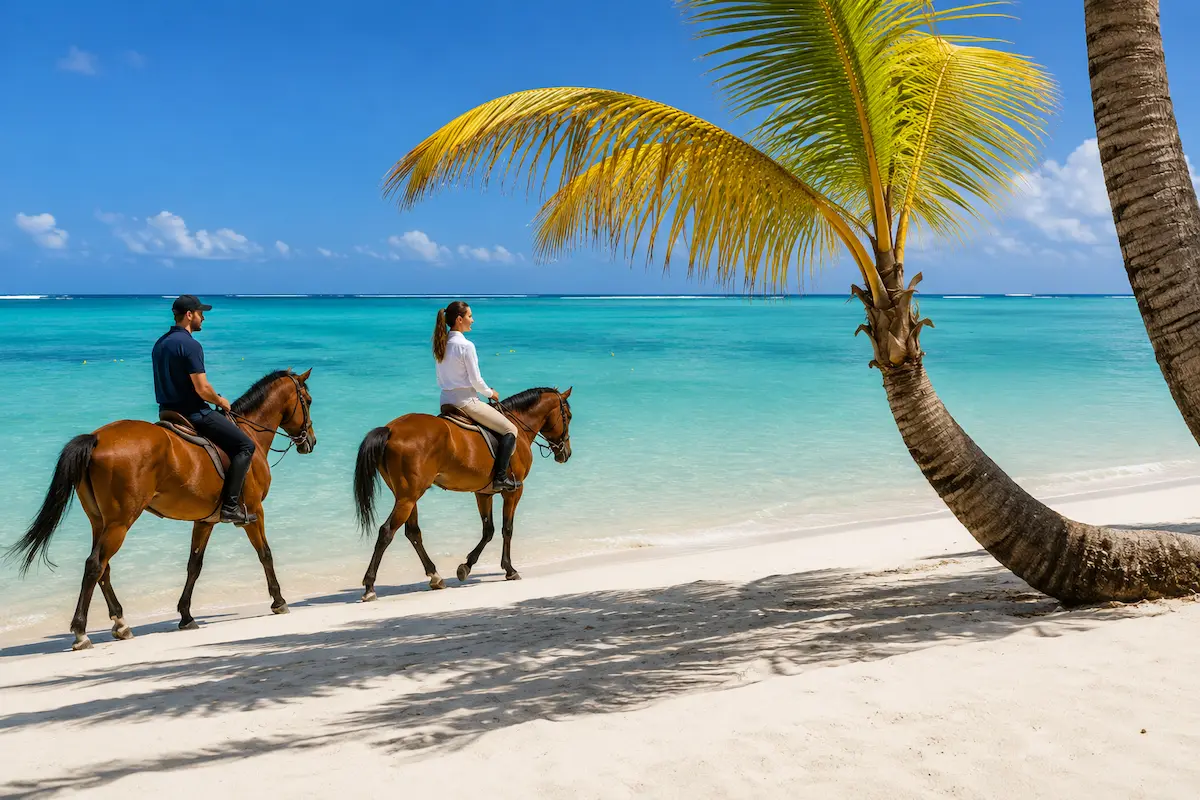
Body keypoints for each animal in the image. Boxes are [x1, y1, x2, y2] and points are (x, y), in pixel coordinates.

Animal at [5, 369, 316, 650]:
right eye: (309, 401)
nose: (310, 441)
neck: (250, 431)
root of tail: (96, 438)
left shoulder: (204, 521)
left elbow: (194, 566)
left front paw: (186, 615)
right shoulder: (254, 512)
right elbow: (265, 554)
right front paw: (279, 601)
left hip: (100, 522)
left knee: (102, 567)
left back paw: (121, 623)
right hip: (120, 522)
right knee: (95, 565)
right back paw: (81, 632)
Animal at [352, 387, 572, 600]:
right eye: (568, 416)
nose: (566, 454)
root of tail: (391, 430)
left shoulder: (483, 494)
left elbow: (488, 530)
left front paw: (465, 567)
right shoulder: (514, 491)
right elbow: (506, 529)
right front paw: (509, 570)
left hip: (407, 496)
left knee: (413, 532)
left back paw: (435, 576)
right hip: (408, 497)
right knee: (386, 532)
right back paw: (370, 586)